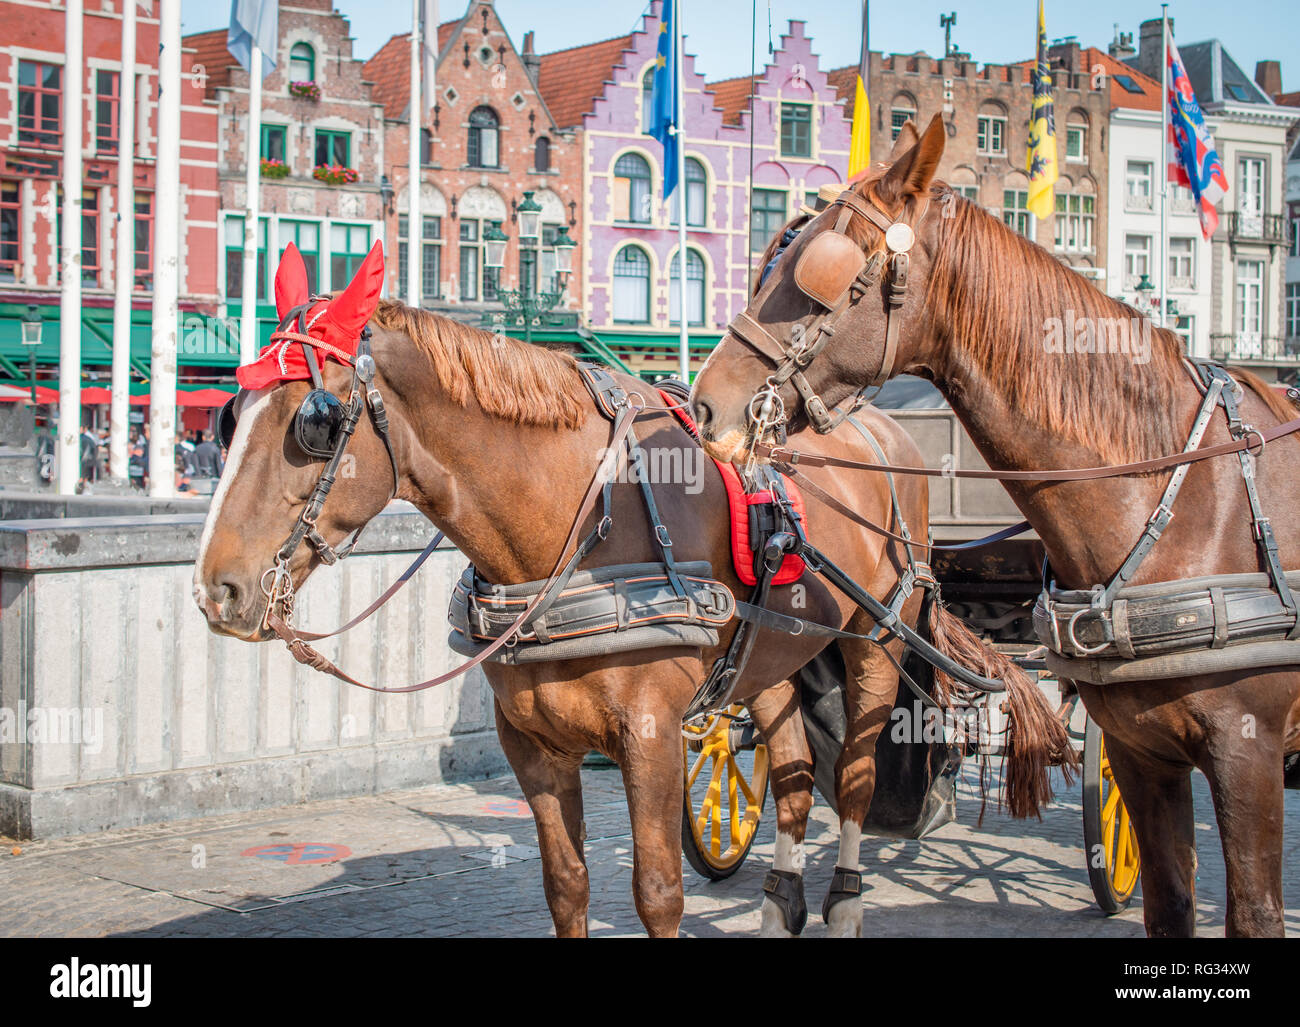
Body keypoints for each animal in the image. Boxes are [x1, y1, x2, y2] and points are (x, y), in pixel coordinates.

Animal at [195, 254, 1066, 930]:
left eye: (315, 420)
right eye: (229, 414)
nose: (216, 589)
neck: (573, 530)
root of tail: (883, 429)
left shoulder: (648, 737)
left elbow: (657, 893)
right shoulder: (532, 744)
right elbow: (567, 886)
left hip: (880, 642)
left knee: (851, 778)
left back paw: (844, 901)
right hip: (775, 659)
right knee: (790, 779)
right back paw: (779, 904)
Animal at [691, 116, 1300, 935]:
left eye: (818, 272)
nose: (705, 404)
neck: (1181, 494)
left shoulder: (1245, 757)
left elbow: (1254, 910)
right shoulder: (1144, 752)